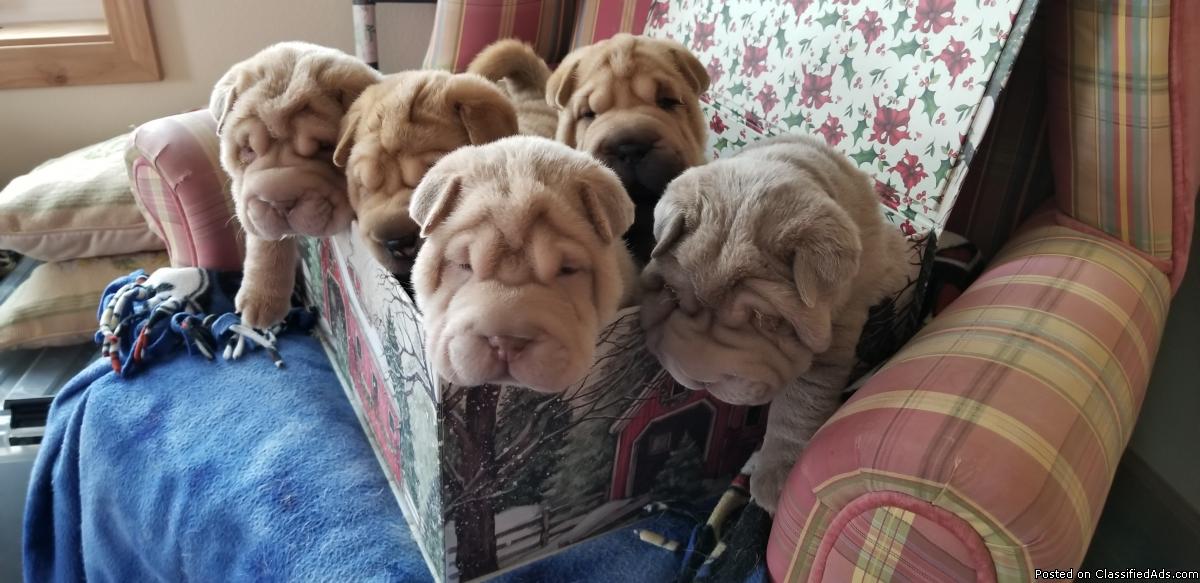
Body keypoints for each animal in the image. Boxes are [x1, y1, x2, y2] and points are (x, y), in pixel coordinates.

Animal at [208, 41, 379, 328]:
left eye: (325, 147)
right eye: (247, 149)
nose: (279, 202)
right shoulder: (248, 201)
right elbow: (265, 243)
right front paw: (261, 299)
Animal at [638, 134, 907, 513]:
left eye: (766, 319)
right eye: (673, 294)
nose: (697, 378)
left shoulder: (836, 335)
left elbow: (801, 402)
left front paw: (776, 475)